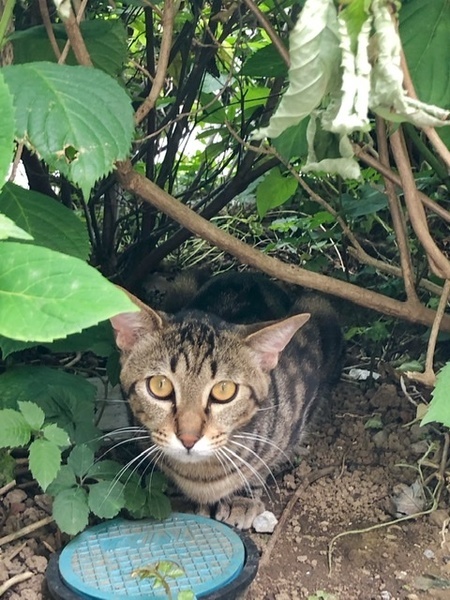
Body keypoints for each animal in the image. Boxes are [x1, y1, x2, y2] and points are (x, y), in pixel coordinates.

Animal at [110, 271, 343, 529]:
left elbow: (258, 464)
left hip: (319, 306)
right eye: (160, 385)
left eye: (224, 390)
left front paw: (242, 497)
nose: (188, 439)